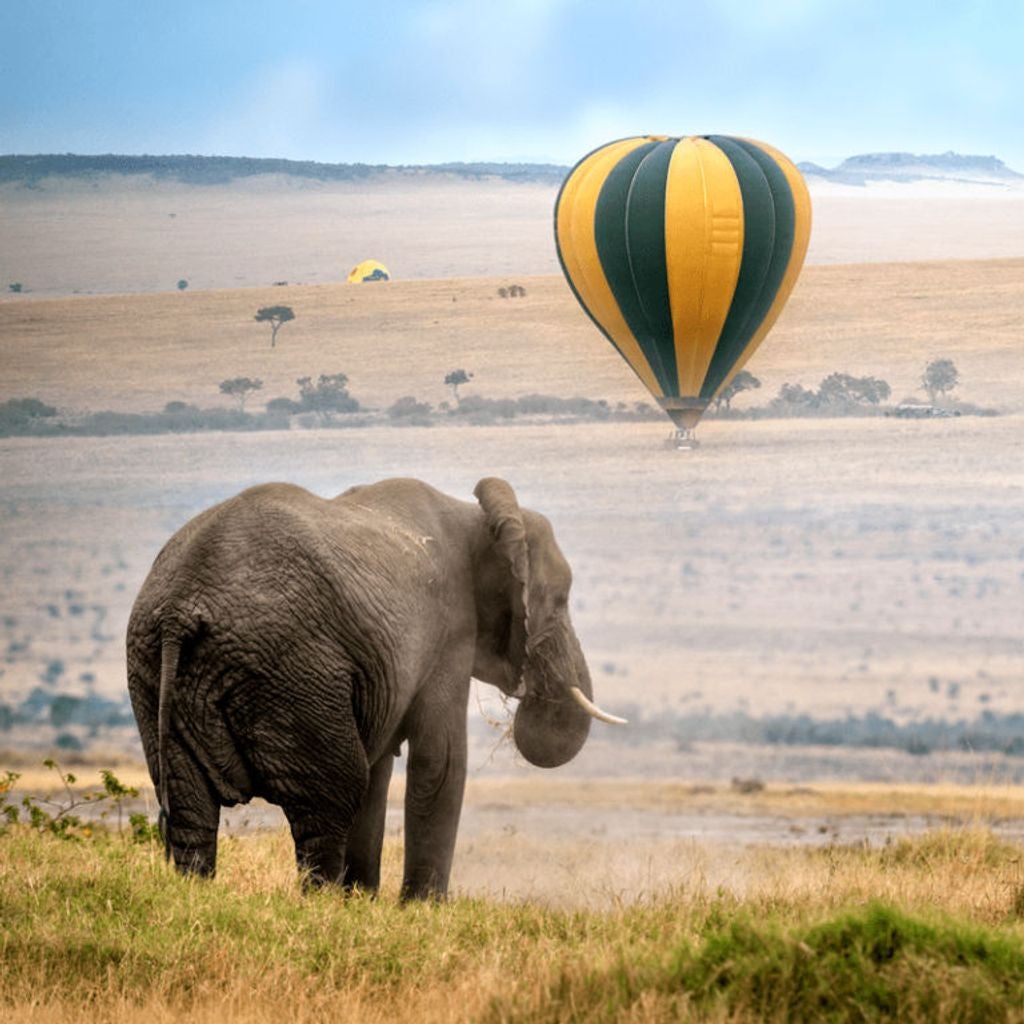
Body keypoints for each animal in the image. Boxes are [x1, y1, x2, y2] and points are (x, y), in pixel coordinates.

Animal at [128, 473, 622, 897]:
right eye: (561, 600)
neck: (476, 516)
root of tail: (181, 608)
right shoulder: (449, 630)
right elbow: (439, 762)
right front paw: (421, 909)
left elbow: (381, 766)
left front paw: (362, 900)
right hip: (290, 669)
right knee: (332, 796)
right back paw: (320, 902)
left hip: (153, 673)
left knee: (191, 808)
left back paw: (196, 893)